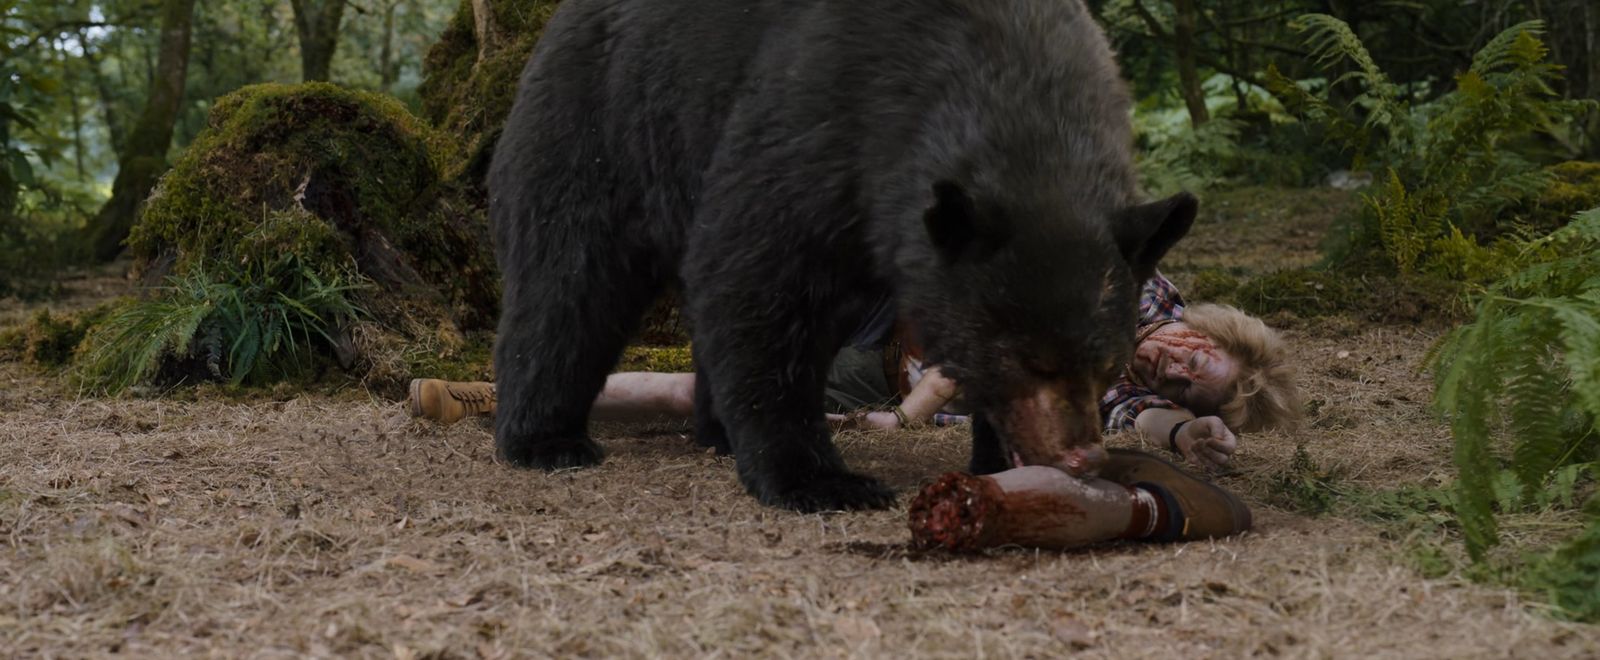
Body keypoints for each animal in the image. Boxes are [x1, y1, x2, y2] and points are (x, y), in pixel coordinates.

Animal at [488, 0, 1195, 512]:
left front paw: (997, 460)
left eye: (1106, 363)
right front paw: (819, 481)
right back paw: (544, 438)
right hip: (603, 121)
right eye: (1026, 360)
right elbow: (759, 284)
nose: (1082, 459)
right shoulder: (824, 122)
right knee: (570, 280)